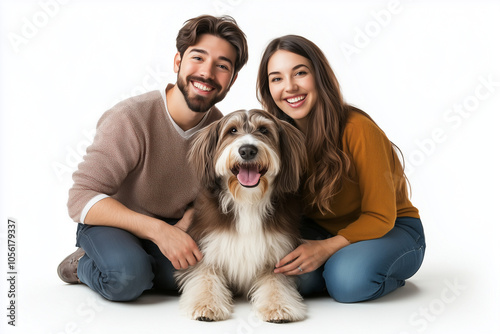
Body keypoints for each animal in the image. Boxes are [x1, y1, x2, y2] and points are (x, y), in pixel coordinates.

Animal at [176, 109, 308, 324]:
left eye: (264, 130)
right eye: (232, 130)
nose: (247, 150)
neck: (248, 200)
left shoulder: (278, 255)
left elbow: (276, 283)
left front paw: (278, 307)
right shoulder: (206, 246)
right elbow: (205, 277)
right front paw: (205, 305)